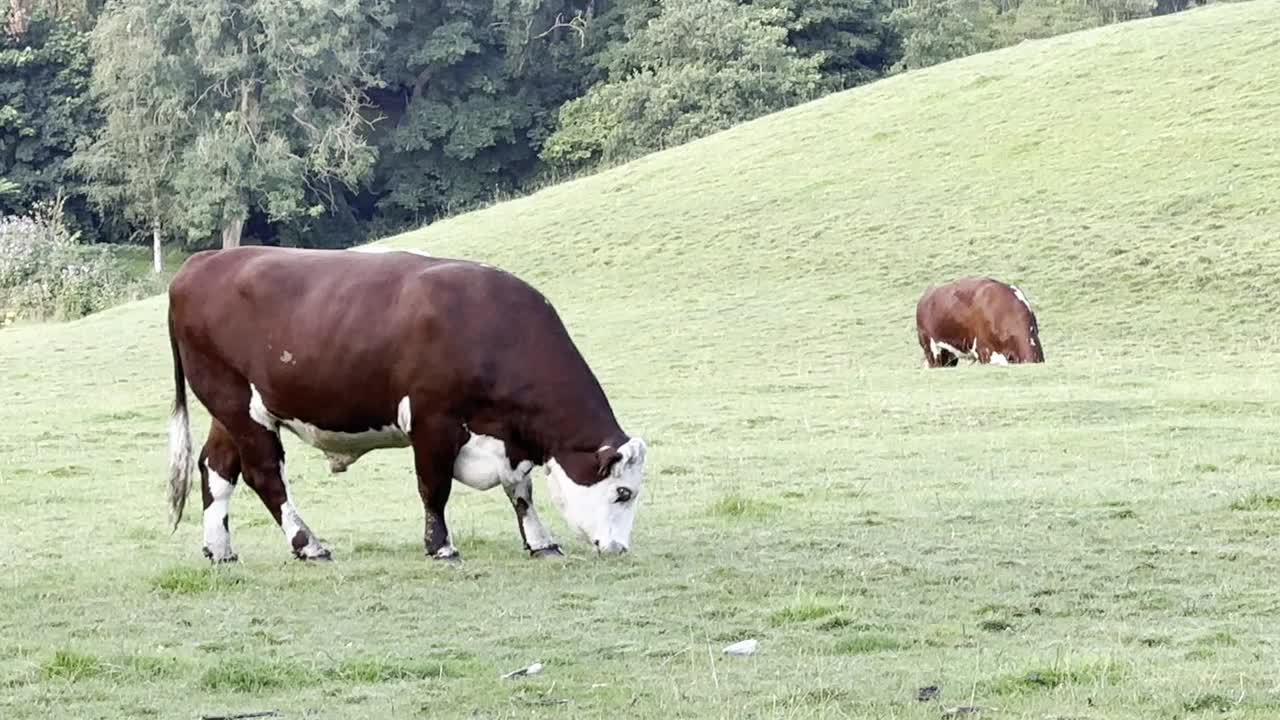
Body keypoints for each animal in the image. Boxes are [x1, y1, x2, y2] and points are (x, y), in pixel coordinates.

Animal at [167, 243, 650, 563]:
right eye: (623, 492)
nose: (619, 549)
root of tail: (201, 262)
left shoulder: (504, 439)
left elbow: (521, 492)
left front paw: (541, 541)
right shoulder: (432, 420)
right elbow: (434, 487)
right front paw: (441, 546)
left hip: (230, 410)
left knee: (217, 469)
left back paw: (220, 549)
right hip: (240, 407)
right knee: (265, 475)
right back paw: (309, 544)